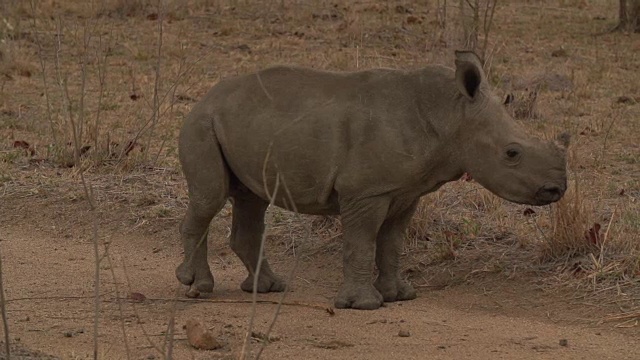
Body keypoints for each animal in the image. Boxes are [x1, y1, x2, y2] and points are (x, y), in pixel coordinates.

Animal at [176, 50, 568, 310]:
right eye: (512, 153)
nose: (557, 189)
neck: (452, 115)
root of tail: (204, 98)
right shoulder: (365, 192)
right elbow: (362, 242)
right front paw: (365, 304)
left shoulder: (405, 191)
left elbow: (392, 243)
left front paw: (400, 295)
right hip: (202, 124)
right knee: (210, 197)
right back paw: (197, 287)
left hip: (240, 125)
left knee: (251, 200)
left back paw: (268, 289)